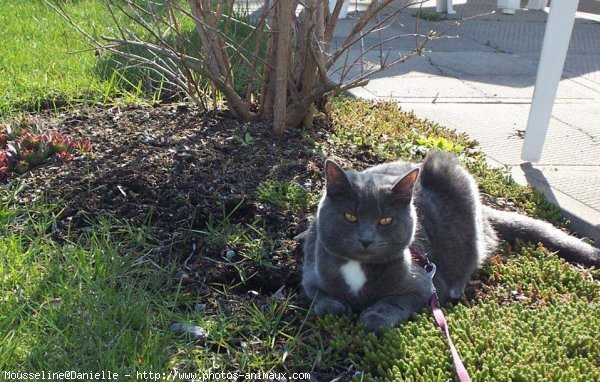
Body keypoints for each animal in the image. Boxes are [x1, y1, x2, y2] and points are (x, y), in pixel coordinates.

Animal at [302, 151, 596, 332]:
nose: (366, 240)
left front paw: (376, 316)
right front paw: (333, 306)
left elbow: (397, 301)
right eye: (350, 216)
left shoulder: (425, 285)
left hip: (457, 179)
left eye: (385, 220)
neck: (358, 269)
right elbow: (317, 294)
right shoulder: (310, 271)